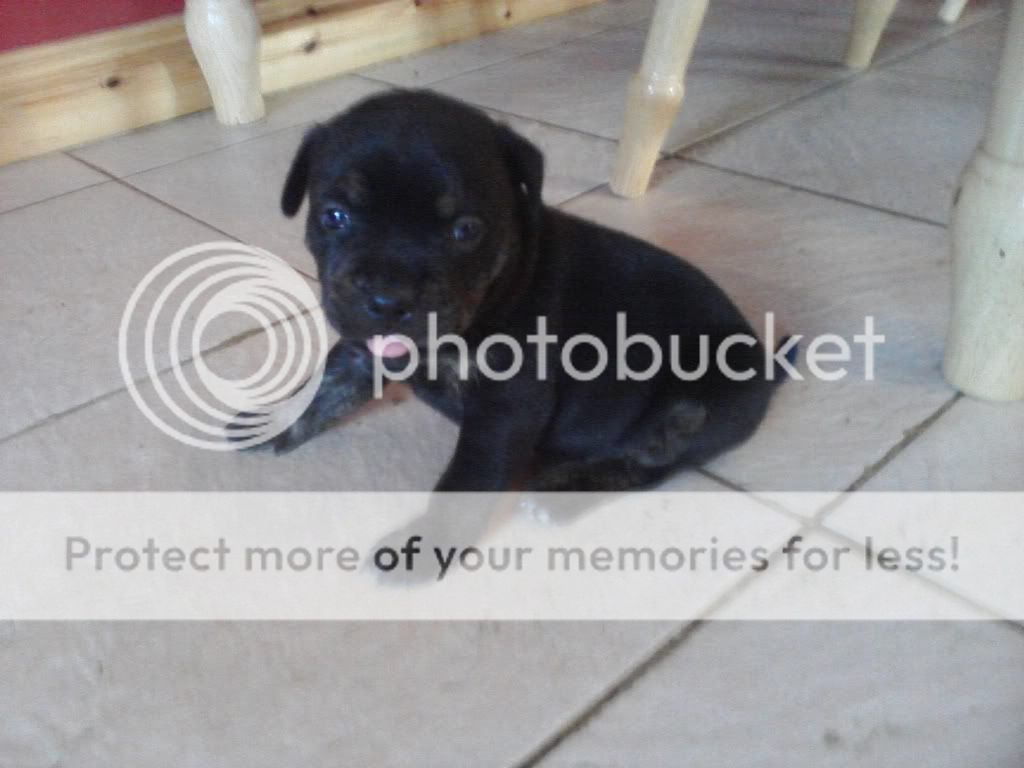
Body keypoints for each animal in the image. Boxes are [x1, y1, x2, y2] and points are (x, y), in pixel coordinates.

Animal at [245, 90, 782, 493]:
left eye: (466, 230)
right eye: (334, 217)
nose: (388, 300)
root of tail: (769, 365)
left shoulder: (505, 407)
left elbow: (466, 481)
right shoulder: (363, 349)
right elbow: (322, 391)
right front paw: (269, 420)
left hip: (701, 398)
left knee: (649, 462)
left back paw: (564, 483)